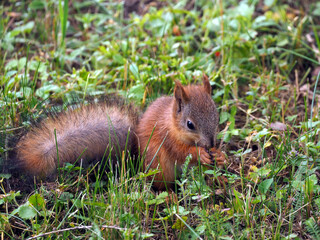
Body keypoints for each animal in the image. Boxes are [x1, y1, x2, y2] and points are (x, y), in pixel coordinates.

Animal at [9, 77, 225, 189]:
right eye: (190, 124)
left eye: (216, 115)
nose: (211, 144)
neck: (173, 125)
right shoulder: (166, 137)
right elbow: (181, 151)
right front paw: (200, 153)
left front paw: (220, 155)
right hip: (159, 166)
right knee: (158, 186)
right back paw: (170, 196)